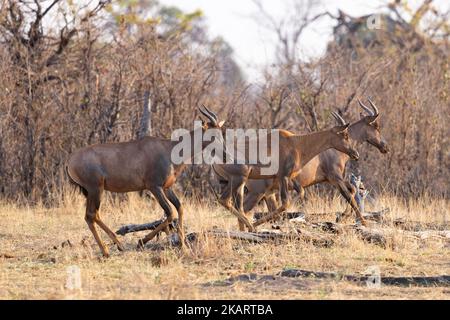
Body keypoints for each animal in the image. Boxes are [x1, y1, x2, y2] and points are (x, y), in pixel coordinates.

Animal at [66, 106, 224, 256]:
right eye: (213, 135)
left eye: (221, 133)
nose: (225, 153)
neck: (168, 148)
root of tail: (71, 160)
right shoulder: (154, 187)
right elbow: (170, 212)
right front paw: (141, 241)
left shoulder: (167, 188)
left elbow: (179, 208)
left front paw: (183, 246)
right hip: (95, 189)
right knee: (91, 215)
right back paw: (107, 251)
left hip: (92, 191)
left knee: (93, 216)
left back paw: (118, 245)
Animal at [212, 110, 362, 230]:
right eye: (345, 135)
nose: (355, 154)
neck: (294, 143)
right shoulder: (283, 176)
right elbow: (286, 203)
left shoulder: (287, 179)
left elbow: (298, 194)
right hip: (240, 179)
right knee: (225, 201)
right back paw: (251, 227)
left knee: (238, 205)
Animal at [221, 97, 386, 222]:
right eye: (376, 126)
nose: (385, 146)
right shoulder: (334, 178)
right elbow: (349, 195)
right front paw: (361, 222)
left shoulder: (332, 179)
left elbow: (351, 190)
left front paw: (343, 217)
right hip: (257, 192)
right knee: (244, 208)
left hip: (266, 193)